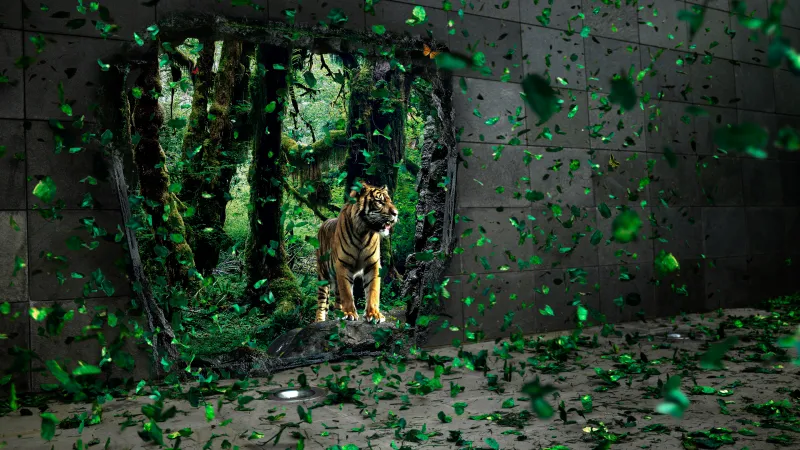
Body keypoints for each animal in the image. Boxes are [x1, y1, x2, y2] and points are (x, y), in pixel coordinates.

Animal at [314, 182, 399, 324]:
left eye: (390, 201)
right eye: (379, 202)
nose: (396, 213)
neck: (363, 232)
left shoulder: (373, 264)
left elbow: (373, 290)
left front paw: (374, 314)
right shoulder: (342, 264)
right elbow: (347, 293)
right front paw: (349, 313)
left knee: (337, 298)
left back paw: (338, 313)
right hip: (323, 275)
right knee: (322, 302)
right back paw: (320, 321)